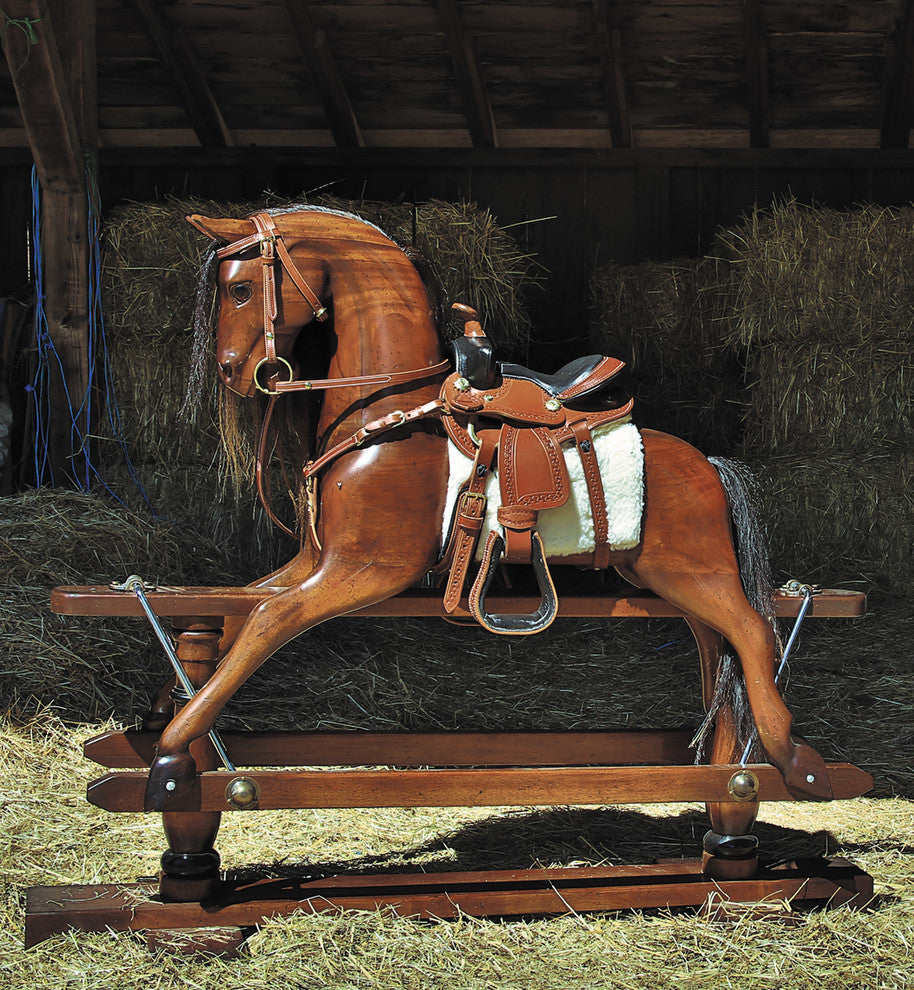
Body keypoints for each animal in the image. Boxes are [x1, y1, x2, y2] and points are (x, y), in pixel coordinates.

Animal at [144, 204, 833, 814]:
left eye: (238, 289)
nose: (232, 372)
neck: (389, 418)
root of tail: (710, 465)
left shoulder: (365, 569)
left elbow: (267, 620)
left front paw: (172, 750)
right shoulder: (313, 561)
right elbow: (236, 607)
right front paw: (166, 701)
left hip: (695, 572)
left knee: (752, 632)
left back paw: (794, 758)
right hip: (666, 578)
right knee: (718, 650)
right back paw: (717, 760)